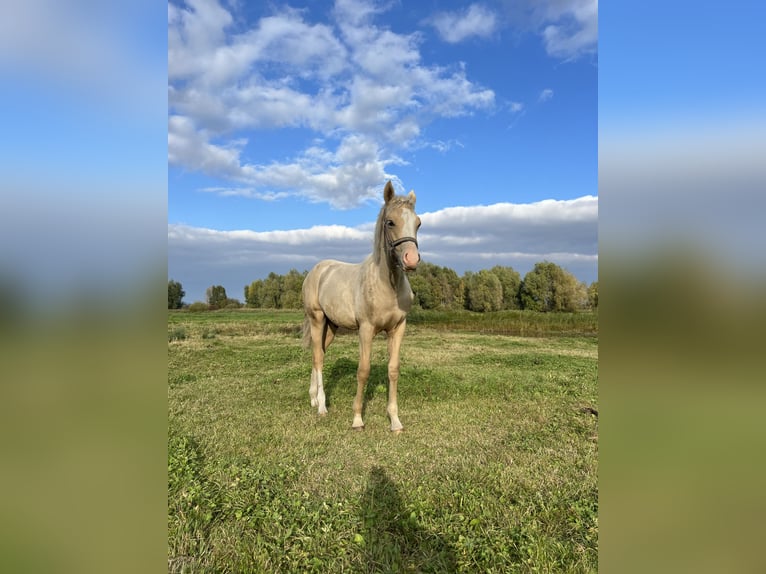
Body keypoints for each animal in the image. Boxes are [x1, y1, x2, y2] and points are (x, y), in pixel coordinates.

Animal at [304, 180, 424, 432]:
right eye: (390, 222)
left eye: (418, 223)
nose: (411, 260)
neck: (387, 284)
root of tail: (318, 269)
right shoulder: (366, 329)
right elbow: (363, 370)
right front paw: (357, 418)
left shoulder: (398, 328)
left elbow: (393, 369)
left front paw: (395, 421)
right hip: (317, 319)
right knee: (318, 358)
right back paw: (322, 406)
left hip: (331, 326)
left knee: (318, 354)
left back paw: (313, 399)